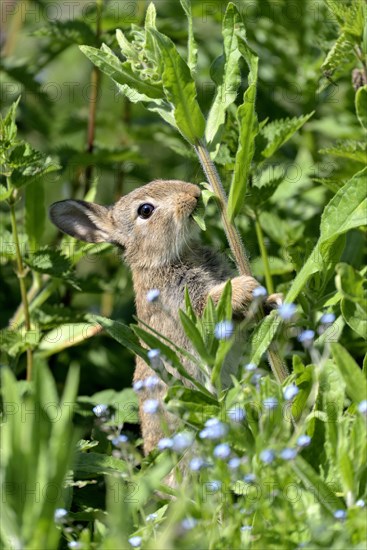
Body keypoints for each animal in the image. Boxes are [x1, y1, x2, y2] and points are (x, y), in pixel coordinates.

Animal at [49, 180, 282, 458]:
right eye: (145, 210)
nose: (194, 193)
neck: (163, 259)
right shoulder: (184, 306)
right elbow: (211, 306)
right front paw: (245, 286)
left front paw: (274, 300)